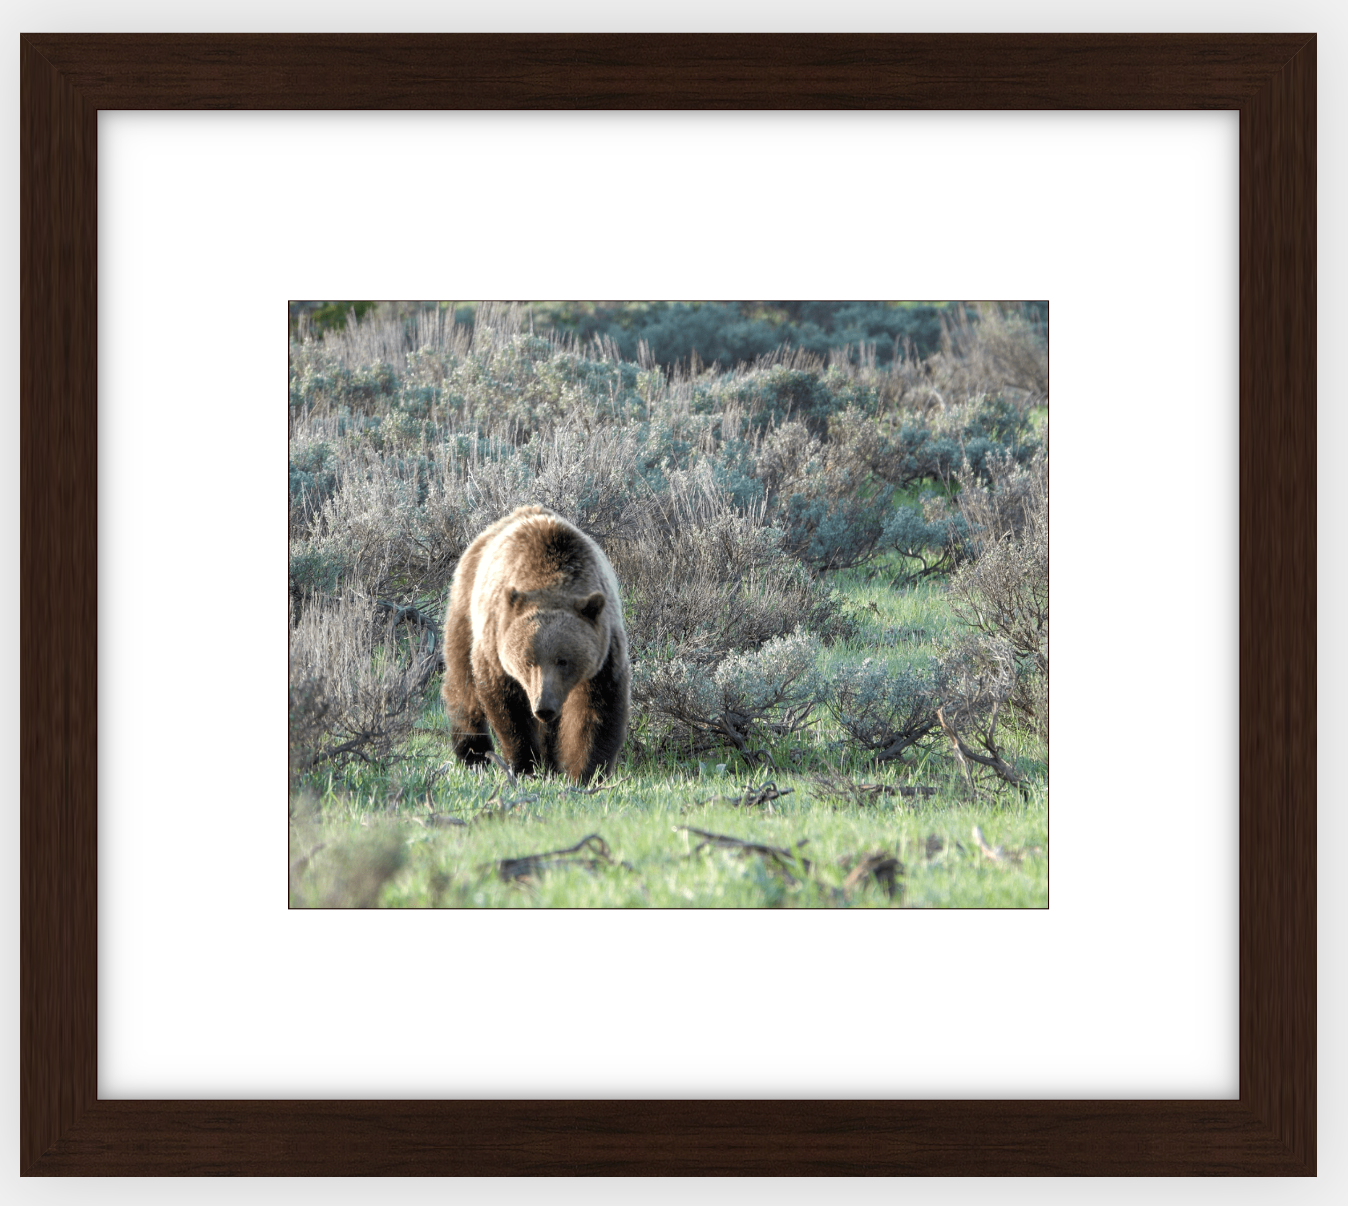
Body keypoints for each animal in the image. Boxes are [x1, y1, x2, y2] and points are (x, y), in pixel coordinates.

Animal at [442, 503, 630, 786]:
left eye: (563, 660)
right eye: (527, 661)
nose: (544, 706)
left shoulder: (604, 650)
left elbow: (597, 709)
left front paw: (586, 773)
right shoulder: (497, 643)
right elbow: (509, 709)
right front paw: (524, 765)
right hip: (466, 606)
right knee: (462, 680)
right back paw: (473, 753)